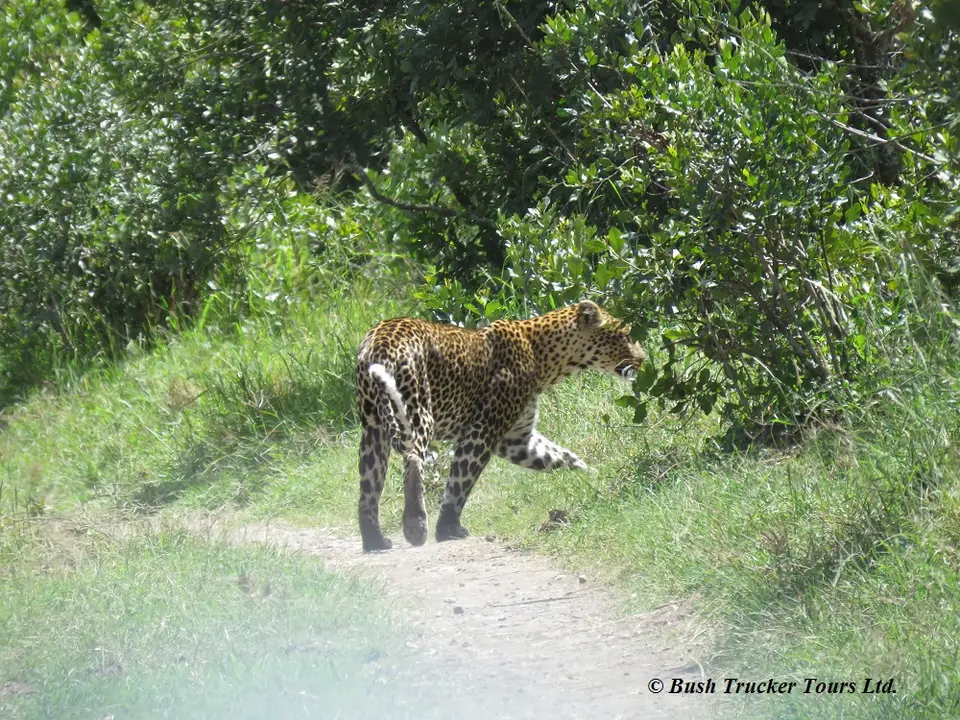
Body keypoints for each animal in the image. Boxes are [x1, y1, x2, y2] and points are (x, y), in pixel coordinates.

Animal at [353, 300, 646, 552]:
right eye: (625, 336)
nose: (643, 359)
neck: (544, 356)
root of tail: (379, 342)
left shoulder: (518, 439)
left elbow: (563, 458)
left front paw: (594, 477)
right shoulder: (485, 428)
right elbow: (460, 482)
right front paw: (448, 529)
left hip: (373, 427)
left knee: (369, 486)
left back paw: (375, 541)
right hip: (417, 409)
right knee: (413, 459)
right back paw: (416, 527)